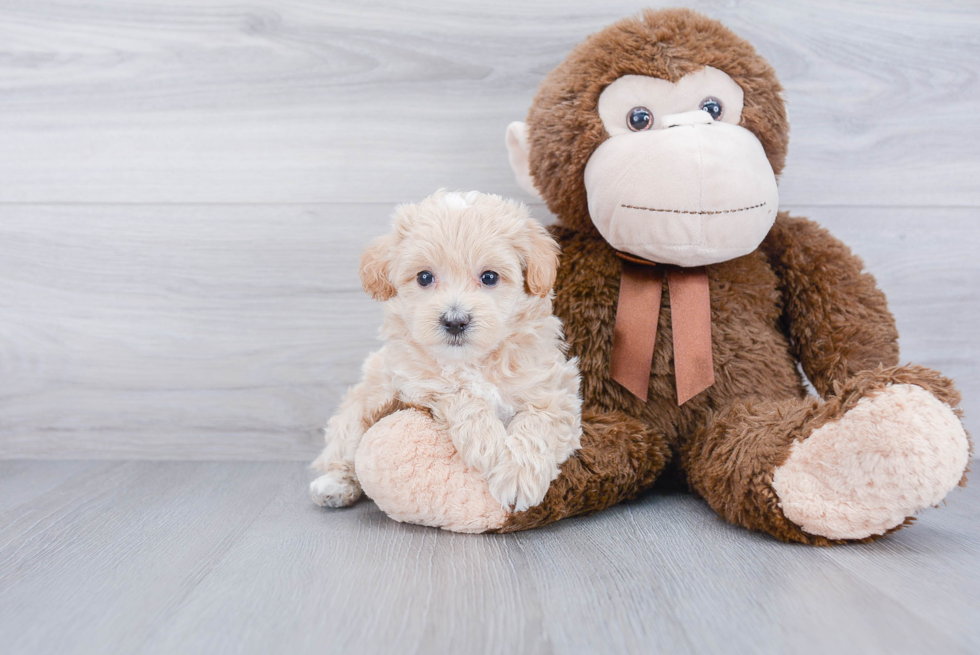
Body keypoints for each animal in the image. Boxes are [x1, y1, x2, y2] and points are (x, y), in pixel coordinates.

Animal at [308, 190, 580, 512]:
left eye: (489, 277)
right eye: (424, 277)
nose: (455, 321)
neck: (473, 361)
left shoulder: (555, 390)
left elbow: (540, 423)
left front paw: (517, 476)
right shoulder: (415, 382)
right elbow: (459, 393)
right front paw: (488, 445)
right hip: (361, 405)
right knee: (342, 447)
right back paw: (334, 485)